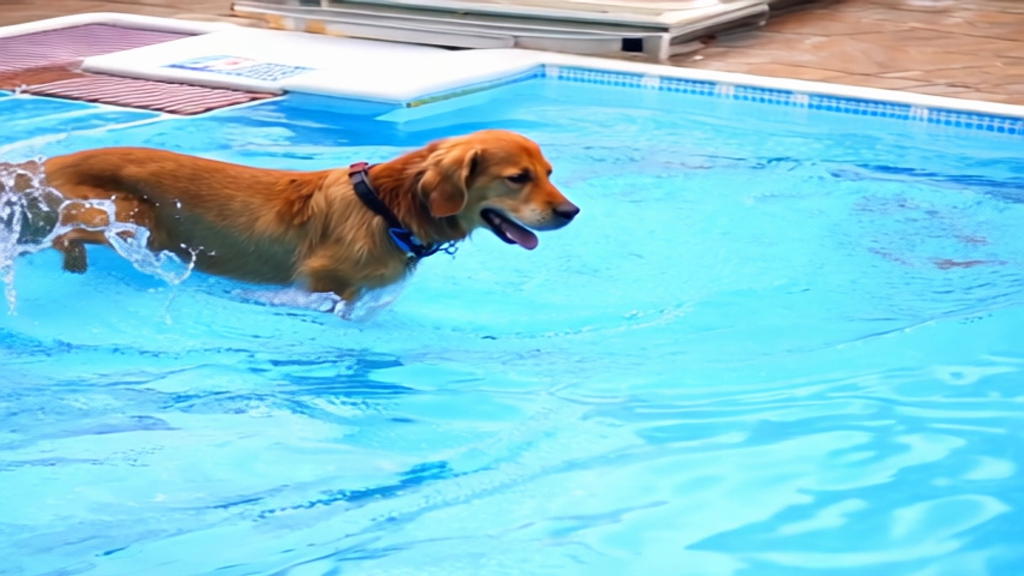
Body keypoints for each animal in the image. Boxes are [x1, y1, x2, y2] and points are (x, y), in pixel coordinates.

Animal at [8, 128, 581, 303]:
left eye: (549, 171)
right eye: (518, 178)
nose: (571, 211)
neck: (386, 206)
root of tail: (44, 163)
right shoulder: (322, 283)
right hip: (132, 217)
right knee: (66, 238)